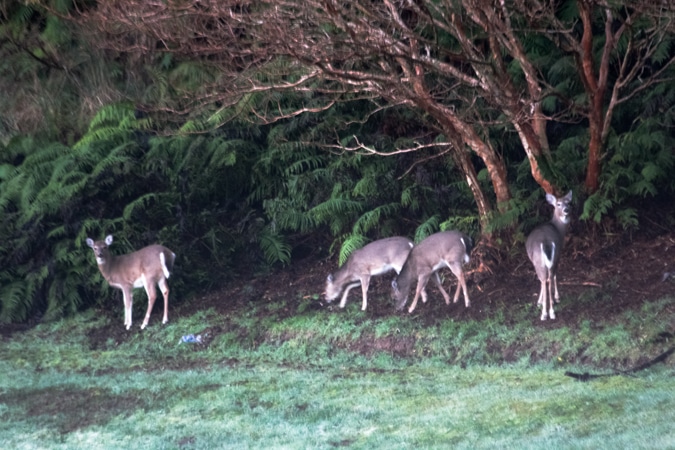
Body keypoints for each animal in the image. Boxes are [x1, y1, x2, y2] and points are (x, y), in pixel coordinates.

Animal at [524, 190, 572, 320]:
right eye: (558, 204)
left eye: (568, 203)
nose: (566, 210)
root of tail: (546, 242)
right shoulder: (558, 255)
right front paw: (555, 298)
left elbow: (546, 279)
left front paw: (544, 301)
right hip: (550, 259)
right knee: (548, 277)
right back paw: (551, 311)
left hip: (539, 261)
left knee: (545, 279)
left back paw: (546, 313)